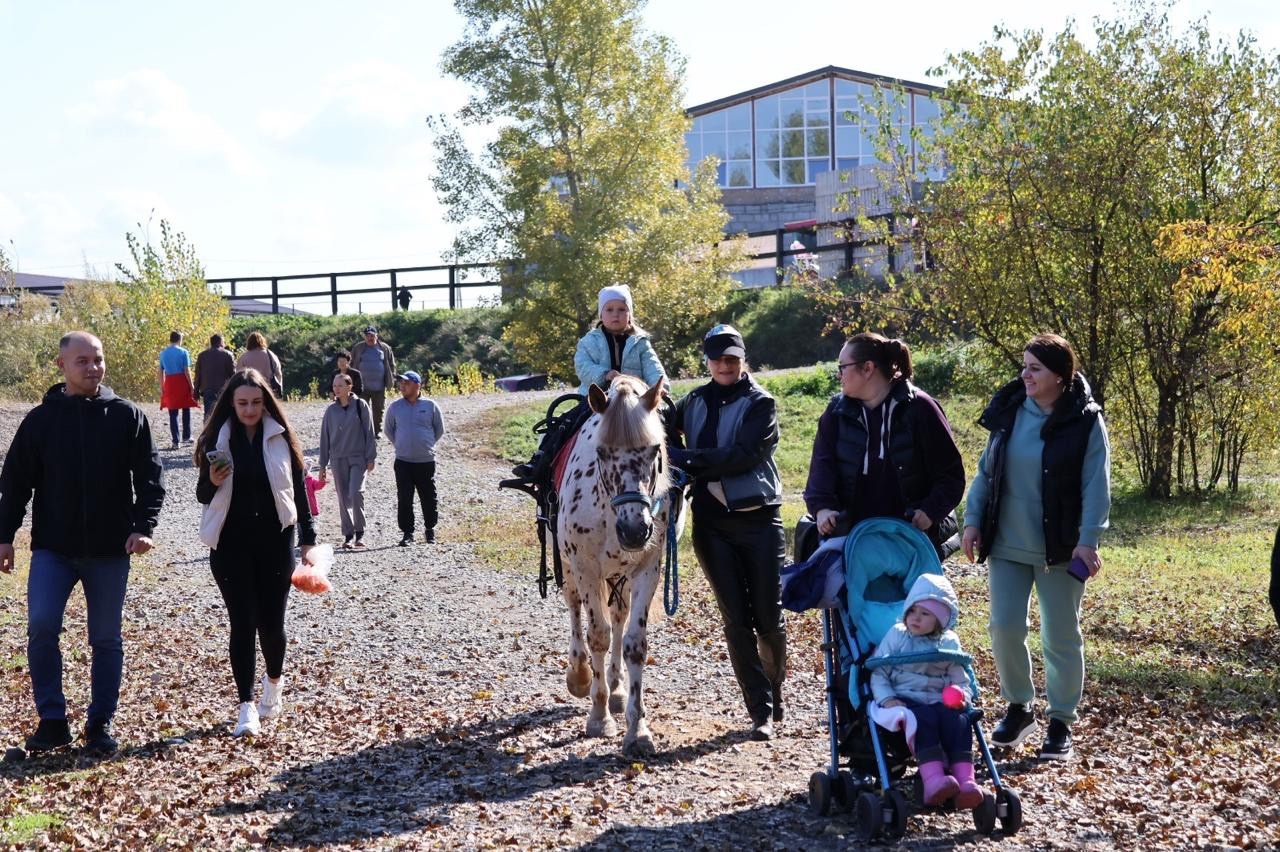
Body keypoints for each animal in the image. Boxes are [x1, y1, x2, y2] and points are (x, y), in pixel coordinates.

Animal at [558, 376, 675, 752]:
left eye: (654, 451)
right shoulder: (585, 566)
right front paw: (599, 715)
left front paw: (637, 729)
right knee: (574, 608)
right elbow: (597, 636)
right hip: (568, 564)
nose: (635, 530)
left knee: (618, 618)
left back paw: (618, 689)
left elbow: (634, 644)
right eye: (602, 453)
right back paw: (579, 674)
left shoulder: (647, 569)